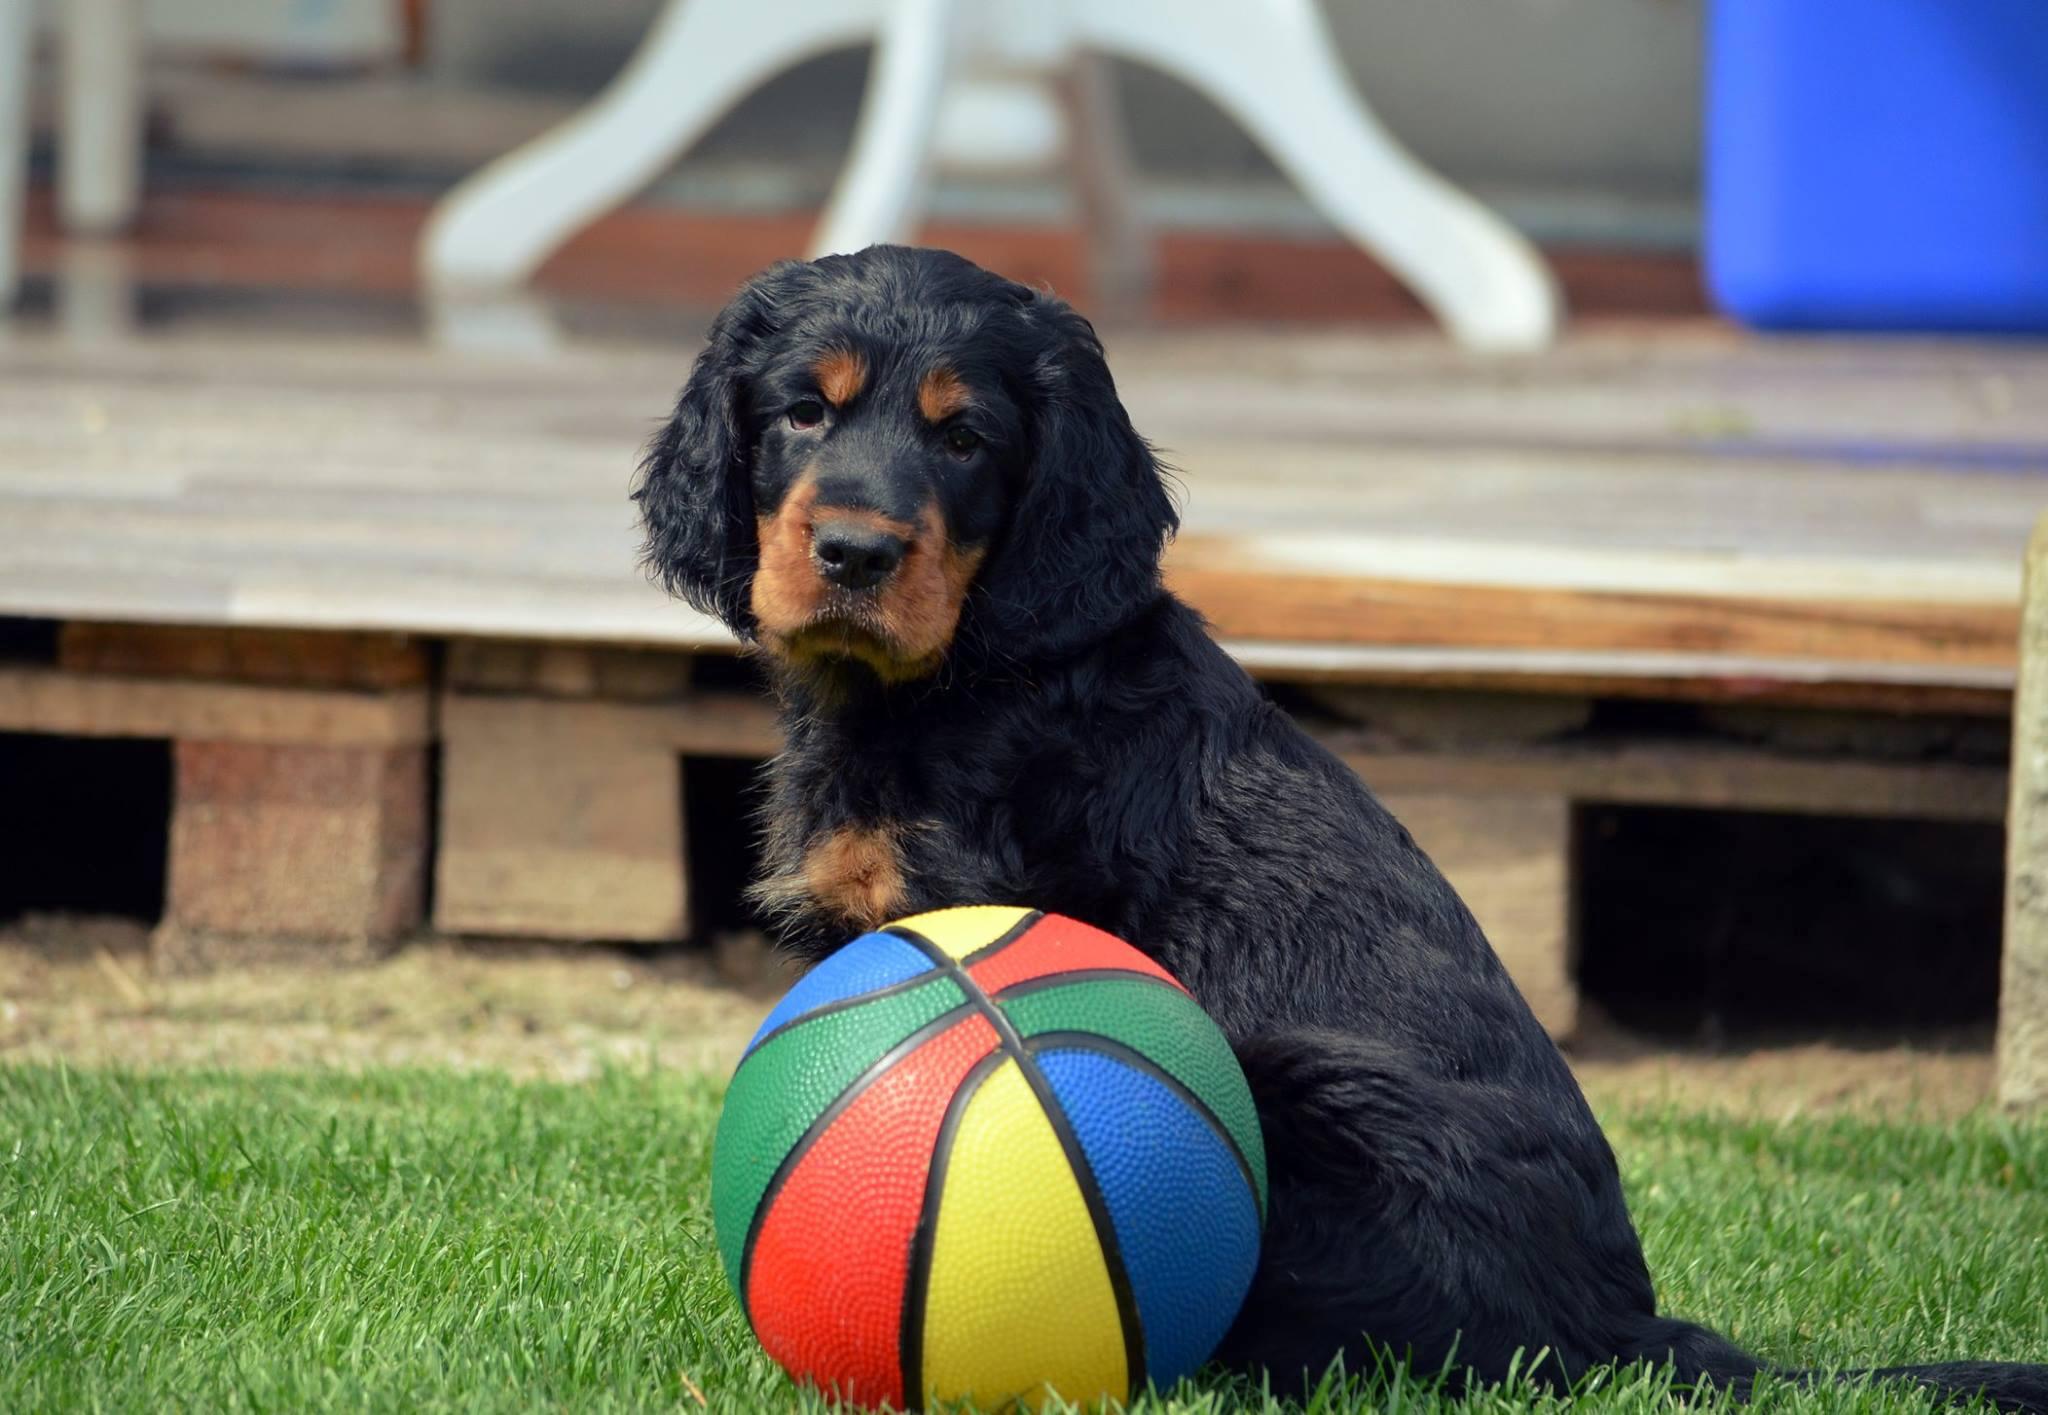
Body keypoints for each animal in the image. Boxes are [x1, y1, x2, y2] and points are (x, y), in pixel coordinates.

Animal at [638, 248, 2048, 1408]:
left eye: (966, 437)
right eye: (802, 410)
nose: (854, 552)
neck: (958, 675)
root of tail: (1618, 1330)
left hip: (1300, 1079)